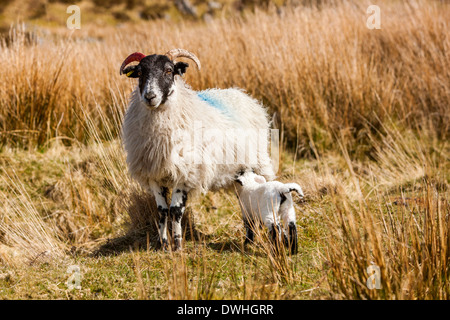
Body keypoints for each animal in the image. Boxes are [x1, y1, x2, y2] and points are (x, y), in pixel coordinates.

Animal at [119, 48, 274, 251]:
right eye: (140, 72)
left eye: (169, 70)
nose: (150, 96)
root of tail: (240, 94)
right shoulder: (154, 175)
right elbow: (162, 211)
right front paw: (164, 245)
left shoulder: (186, 172)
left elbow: (175, 211)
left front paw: (177, 245)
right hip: (239, 172)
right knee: (245, 200)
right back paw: (249, 240)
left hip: (257, 163)